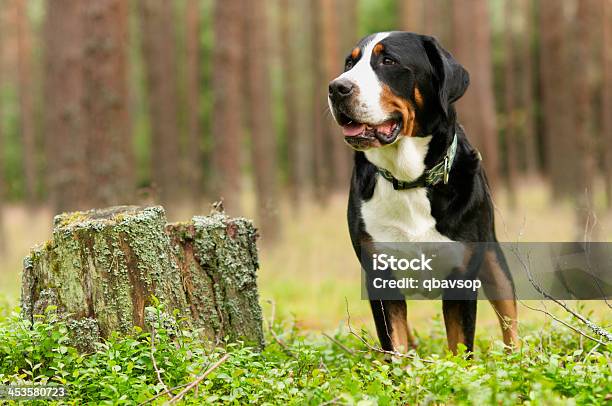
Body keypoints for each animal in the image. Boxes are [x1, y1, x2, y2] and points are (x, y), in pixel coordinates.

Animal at [328, 31, 520, 354]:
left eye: (389, 61)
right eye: (350, 63)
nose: (337, 88)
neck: (410, 180)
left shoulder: (462, 274)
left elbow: (460, 347)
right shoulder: (380, 275)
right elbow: (395, 345)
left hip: (494, 259)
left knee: (509, 317)